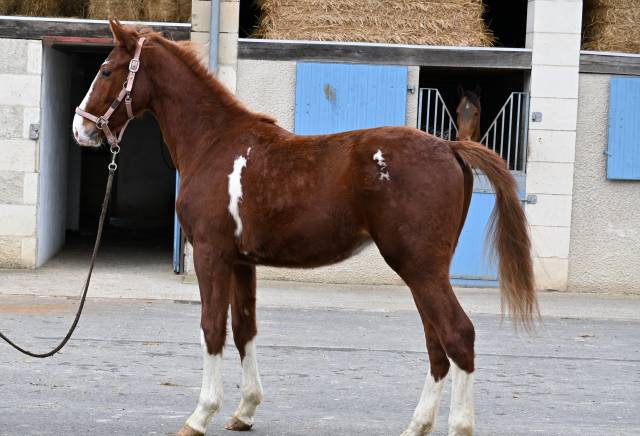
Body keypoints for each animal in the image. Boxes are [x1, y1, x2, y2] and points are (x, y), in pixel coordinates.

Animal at [72, 19, 537, 436]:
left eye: (106, 71)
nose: (81, 128)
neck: (214, 144)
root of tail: (451, 146)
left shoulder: (210, 253)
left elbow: (211, 328)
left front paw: (199, 416)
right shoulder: (241, 261)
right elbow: (243, 329)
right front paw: (244, 412)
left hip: (420, 268)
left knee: (457, 335)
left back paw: (457, 425)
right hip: (425, 271)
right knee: (436, 343)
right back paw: (417, 426)